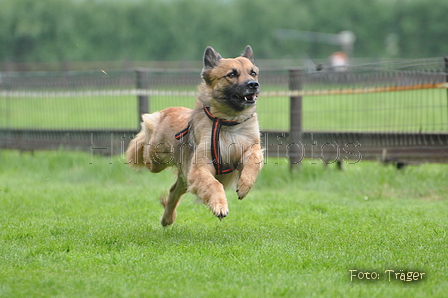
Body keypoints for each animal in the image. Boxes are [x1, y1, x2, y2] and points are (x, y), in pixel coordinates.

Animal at [126, 45, 262, 225]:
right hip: (157, 160)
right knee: (147, 149)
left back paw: (167, 218)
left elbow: (253, 161)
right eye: (232, 74)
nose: (253, 84)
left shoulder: (249, 146)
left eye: (253, 73)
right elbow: (214, 184)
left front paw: (244, 186)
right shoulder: (200, 166)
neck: (227, 122)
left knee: (174, 190)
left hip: (184, 174)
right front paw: (220, 207)